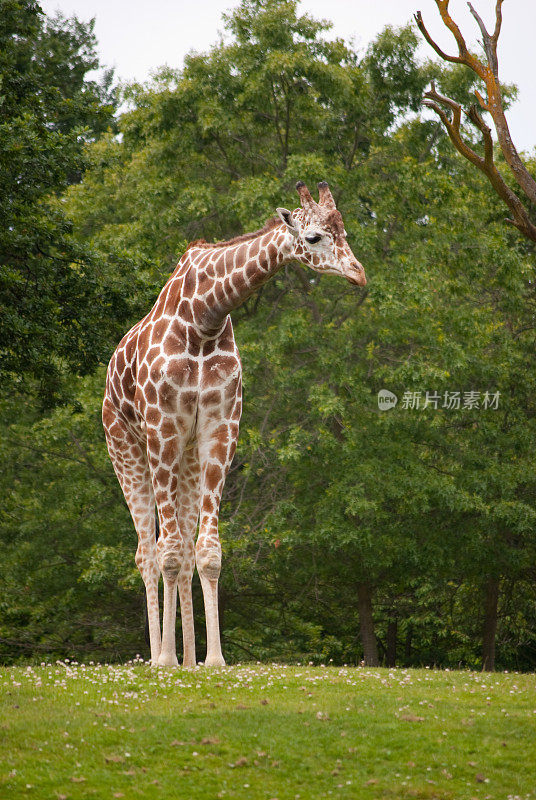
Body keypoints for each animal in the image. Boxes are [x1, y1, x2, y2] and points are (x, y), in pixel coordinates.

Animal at [102, 178, 366, 664]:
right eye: (314, 237)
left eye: (344, 231)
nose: (358, 274)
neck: (204, 318)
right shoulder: (163, 429)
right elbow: (166, 552)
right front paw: (165, 660)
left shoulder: (220, 429)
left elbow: (205, 552)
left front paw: (214, 660)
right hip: (126, 448)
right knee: (147, 553)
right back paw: (161, 657)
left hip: (186, 458)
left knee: (182, 549)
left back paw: (187, 659)